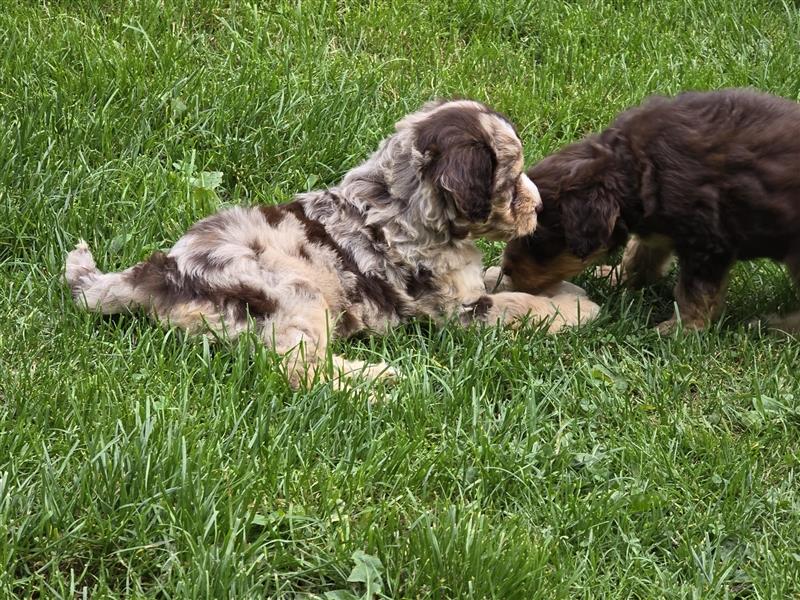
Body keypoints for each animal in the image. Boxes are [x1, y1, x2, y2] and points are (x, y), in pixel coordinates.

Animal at [65, 100, 596, 386]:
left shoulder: (467, 281)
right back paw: (379, 381)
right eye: (510, 180)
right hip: (295, 294)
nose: (540, 206)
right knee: (301, 371)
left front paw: (564, 289)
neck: (403, 199)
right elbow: (515, 304)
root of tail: (161, 271)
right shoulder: (458, 311)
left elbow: (498, 279)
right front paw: (577, 307)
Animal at [490, 88, 800, 330]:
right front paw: (617, 277)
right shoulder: (660, 227)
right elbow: (640, 256)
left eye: (536, 242)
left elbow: (695, 293)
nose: (506, 270)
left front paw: (681, 329)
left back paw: (777, 326)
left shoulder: (708, 244)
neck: (637, 168)